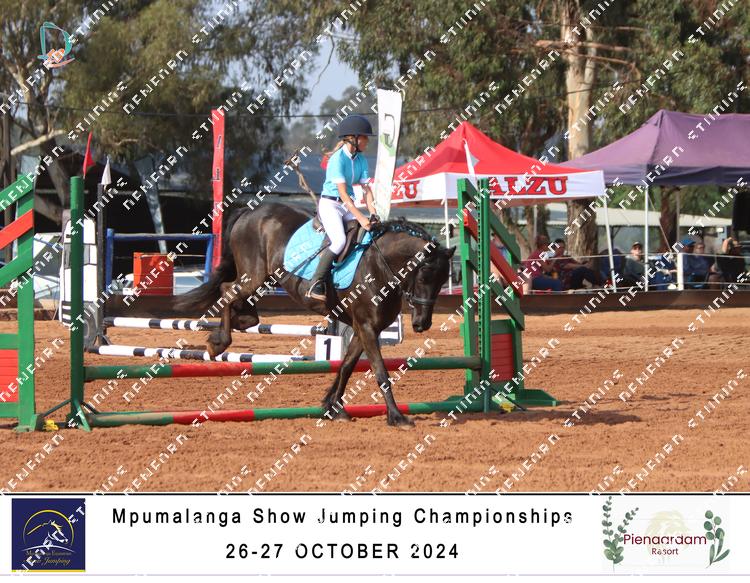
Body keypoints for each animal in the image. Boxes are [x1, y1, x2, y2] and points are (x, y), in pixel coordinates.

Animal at [175, 202, 455, 427]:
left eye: (443, 281)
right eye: (424, 276)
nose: (422, 324)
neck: (379, 265)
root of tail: (251, 210)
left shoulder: (363, 329)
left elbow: (346, 366)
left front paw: (333, 407)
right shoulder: (366, 327)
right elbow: (380, 371)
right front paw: (397, 417)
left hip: (264, 278)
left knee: (242, 304)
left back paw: (238, 321)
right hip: (253, 274)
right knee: (226, 290)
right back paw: (218, 342)